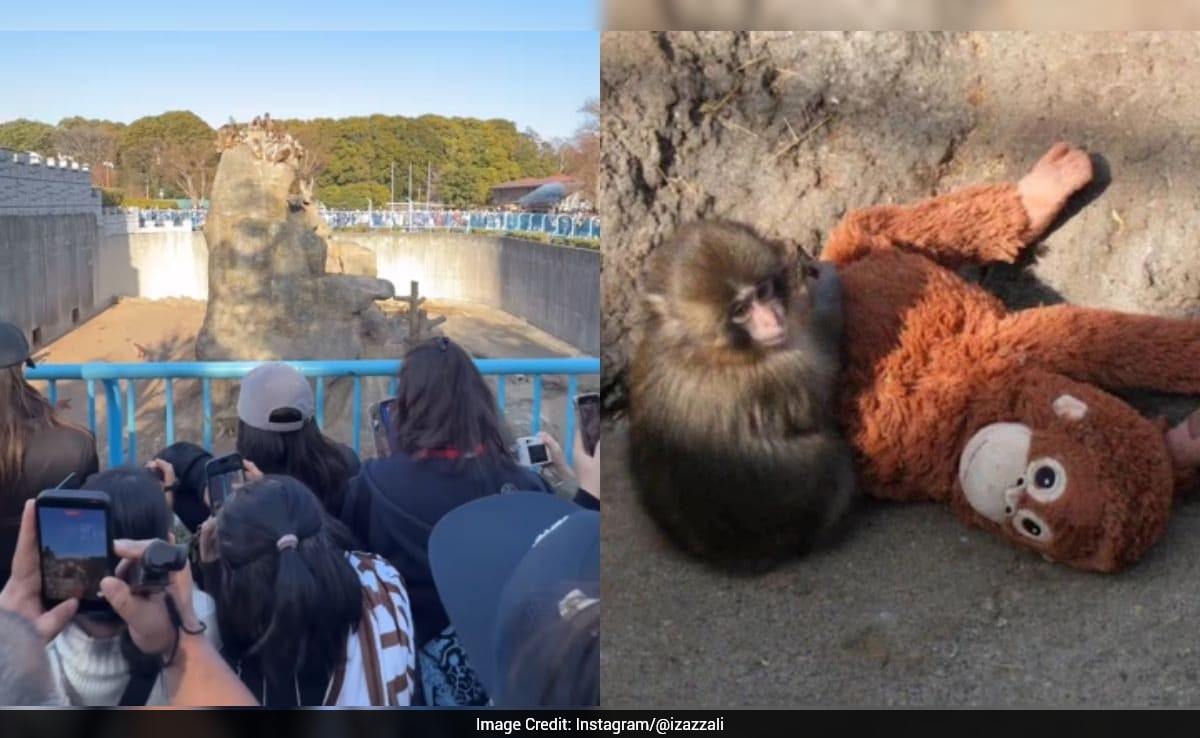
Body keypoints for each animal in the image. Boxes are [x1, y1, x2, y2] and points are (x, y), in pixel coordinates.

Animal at [627, 220, 859, 572]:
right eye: (740, 310)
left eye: (763, 292)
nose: (774, 319)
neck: (702, 350)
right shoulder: (786, 368)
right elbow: (824, 381)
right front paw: (827, 289)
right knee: (836, 463)